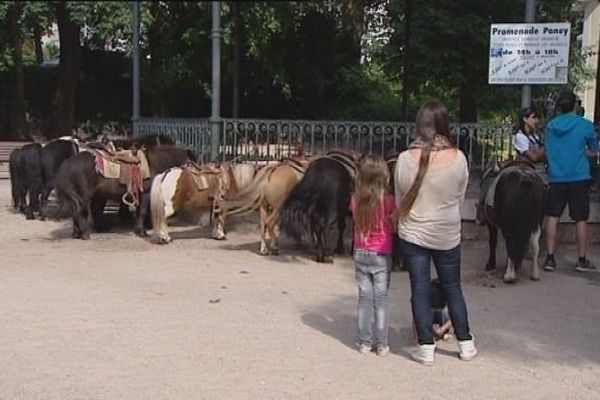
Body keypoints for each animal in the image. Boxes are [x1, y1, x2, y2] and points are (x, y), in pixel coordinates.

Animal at [46, 147, 195, 241]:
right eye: (194, 161)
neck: (154, 163)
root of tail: (67, 163)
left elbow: (140, 212)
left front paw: (139, 230)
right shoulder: (145, 194)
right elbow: (142, 212)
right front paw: (142, 232)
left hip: (77, 196)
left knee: (75, 213)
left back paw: (77, 234)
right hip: (83, 196)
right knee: (79, 213)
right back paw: (85, 235)